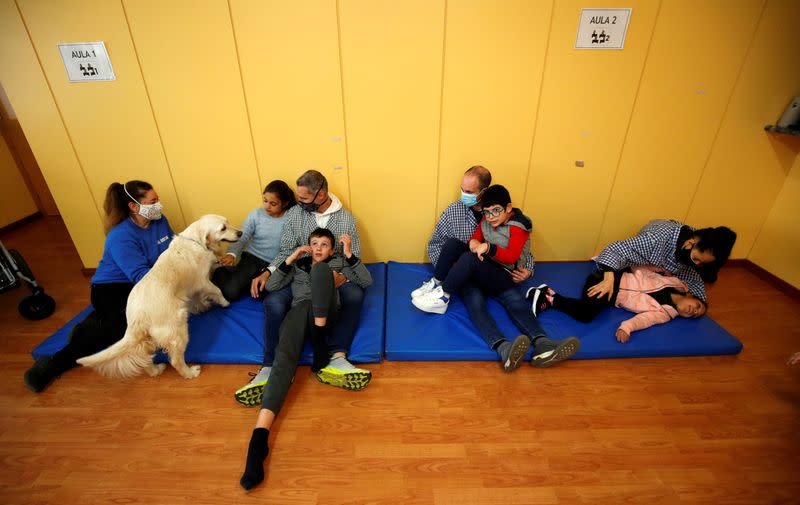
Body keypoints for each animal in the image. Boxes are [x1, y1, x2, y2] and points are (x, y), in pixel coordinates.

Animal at [77, 216, 241, 378]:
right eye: (223, 228)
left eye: (227, 222)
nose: (240, 233)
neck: (196, 241)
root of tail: (136, 317)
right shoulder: (203, 281)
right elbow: (217, 291)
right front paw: (224, 302)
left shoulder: (192, 287)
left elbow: (197, 298)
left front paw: (202, 306)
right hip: (177, 329)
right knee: (176, 360)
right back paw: (190, 372)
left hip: (148, 340)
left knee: (144, 359)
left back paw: (156, 370)